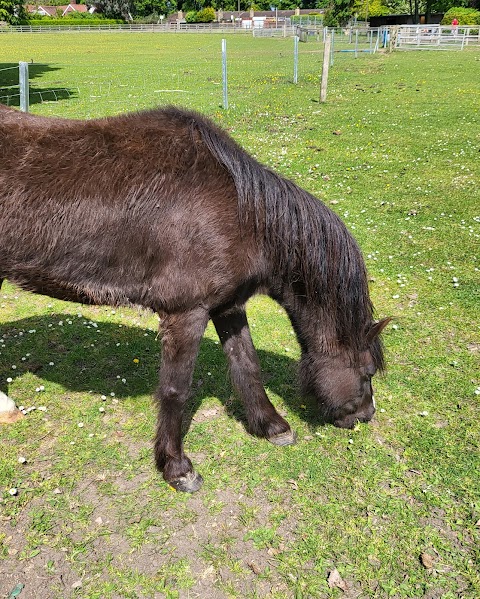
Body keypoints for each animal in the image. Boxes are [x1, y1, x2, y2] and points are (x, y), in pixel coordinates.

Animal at [0, 106, 390, 492]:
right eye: (368, 372)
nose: (365, 416)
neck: (241, 214)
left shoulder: (229, 306)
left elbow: (247, 365)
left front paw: (272, 426)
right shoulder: (186, 313)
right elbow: (176, 389)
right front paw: (176, 467)